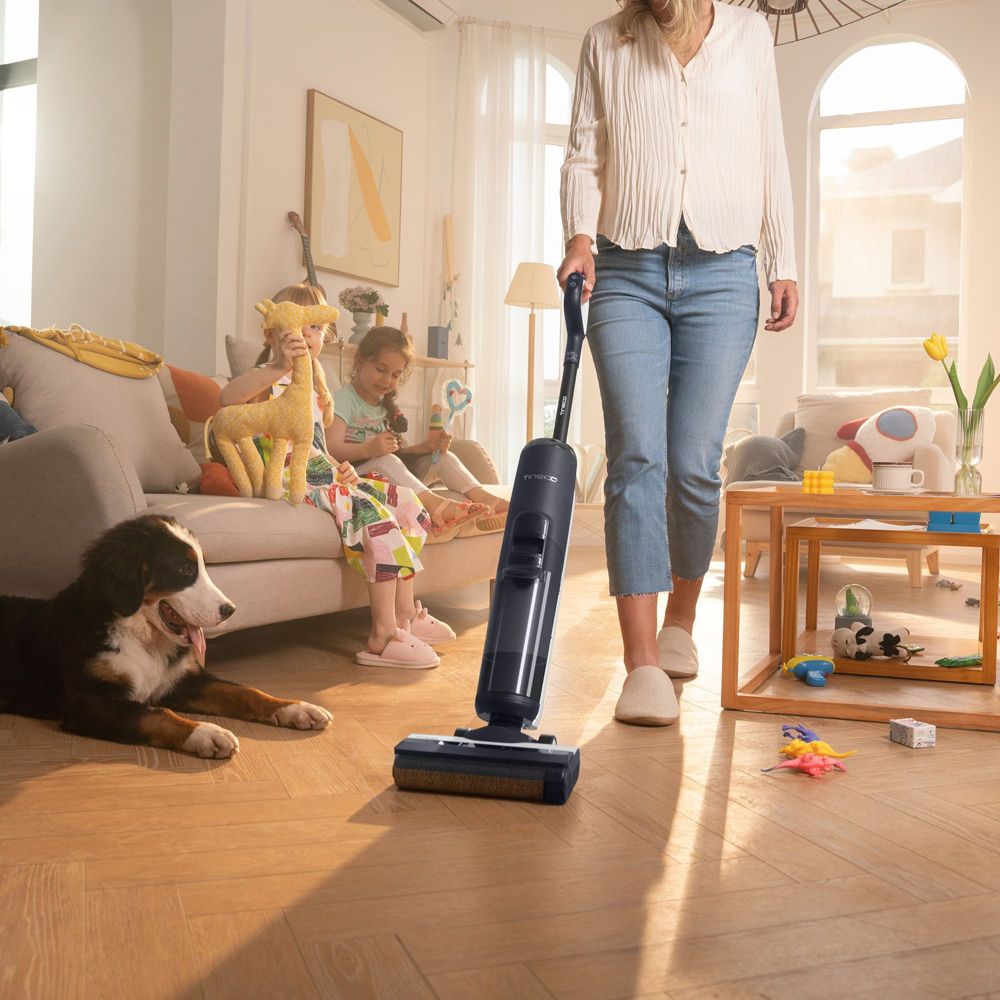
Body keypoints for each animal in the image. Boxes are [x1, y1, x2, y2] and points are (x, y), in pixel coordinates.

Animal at [0, 516, 336, 756]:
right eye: (185, 569)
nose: (230, 609)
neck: (142, 639)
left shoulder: (183, 680)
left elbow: (245, 692)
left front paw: (295, 708)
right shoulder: (87, 700)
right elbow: (155, 714)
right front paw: (205, 733)